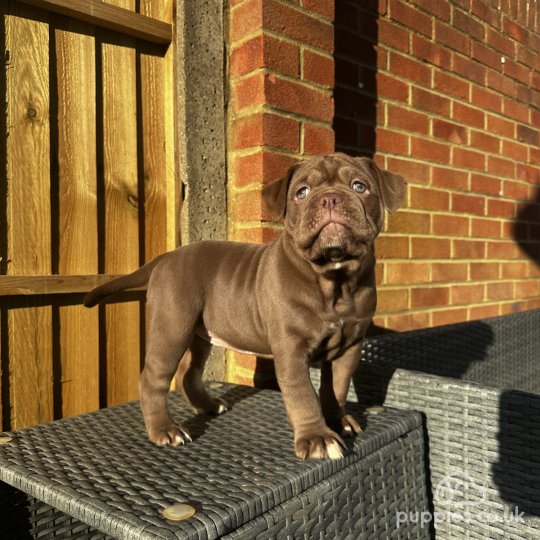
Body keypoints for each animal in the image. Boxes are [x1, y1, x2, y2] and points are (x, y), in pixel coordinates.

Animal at [84, 152, 404, 460]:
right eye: (302, 192)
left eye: (359, 187)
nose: (330, 198)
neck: (334, 280)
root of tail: (165, 257)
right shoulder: (291, 348)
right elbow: (303, 394)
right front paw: (318, 438)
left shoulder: (350, 346)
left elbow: (336, 387)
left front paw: (338, 420)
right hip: (172, 325)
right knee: (154, 378)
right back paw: (165, 430)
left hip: (199, 332)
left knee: (189, 372)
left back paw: (209, 406)